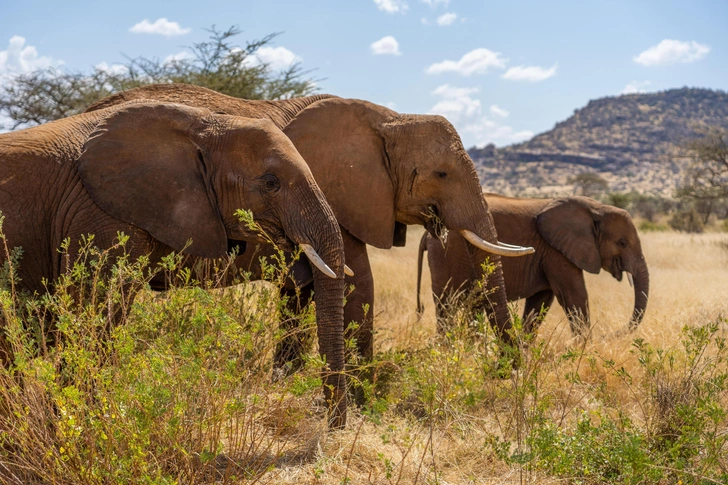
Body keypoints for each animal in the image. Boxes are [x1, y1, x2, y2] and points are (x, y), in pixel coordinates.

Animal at [0, 102, 350, 428]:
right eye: (270, 183)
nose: (332, 429)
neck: (203, 125)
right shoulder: (96, 215)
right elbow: (89, 317)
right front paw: (84, 428)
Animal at [86, 83, 536, 368]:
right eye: (441, 174)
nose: (508, 372)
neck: (389, 117)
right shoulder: (334, 194)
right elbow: (358, 284)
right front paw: (362, 399)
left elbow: (301, 291)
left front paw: (287, 379)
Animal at [418, 195, 652, 334]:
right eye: (622, 243)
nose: (615, 333)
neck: (595, 207)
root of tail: (428, 233)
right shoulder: (556, 251)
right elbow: (574, 297)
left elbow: (539, 304)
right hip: (446, 256)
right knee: (447, 306)